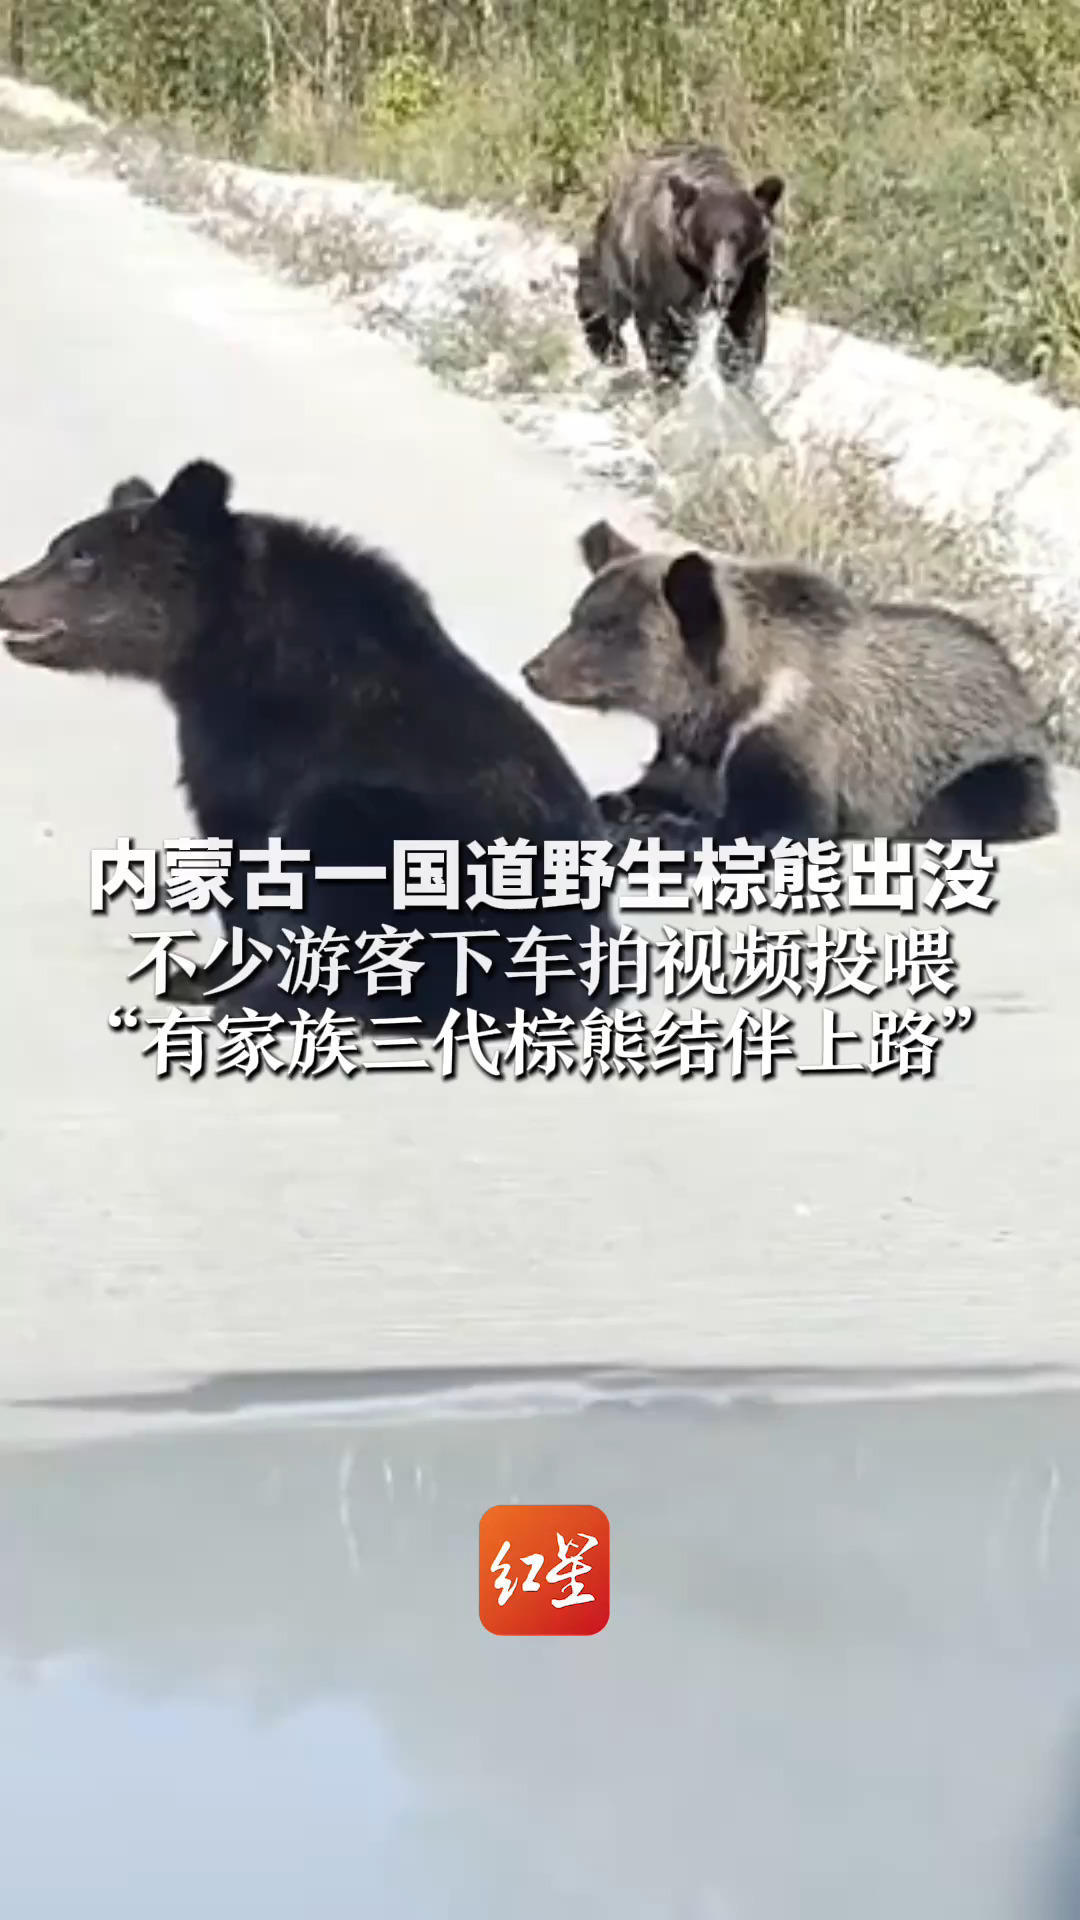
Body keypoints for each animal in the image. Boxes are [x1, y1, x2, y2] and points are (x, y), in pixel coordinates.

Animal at [0, 460, 621, 1032]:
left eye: (81, 557)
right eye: (58, 545)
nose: (5, 592)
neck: (221, 652)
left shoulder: (261, 746)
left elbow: (248, 853)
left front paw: (234, 984)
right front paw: (202, 976)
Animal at [520, 520, 1060, 849]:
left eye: (611, 629)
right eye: (578, 615)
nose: (534, 669)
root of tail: (1017, 678)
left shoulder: (795, 740)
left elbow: (778, 821)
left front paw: (672, 832)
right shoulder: (690, 752)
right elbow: (655, 789)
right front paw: (619, 806)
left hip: (986, 762)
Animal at [575, 144, 785, 389]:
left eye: (741, 236)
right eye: (707, 236)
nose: (724, 278)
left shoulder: (752, 270)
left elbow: (744, 323)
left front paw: (737, 373)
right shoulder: (668, 267)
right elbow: (667, 325)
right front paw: (670, 372)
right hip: (617, 252)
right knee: (602, 297)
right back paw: (609, 348)